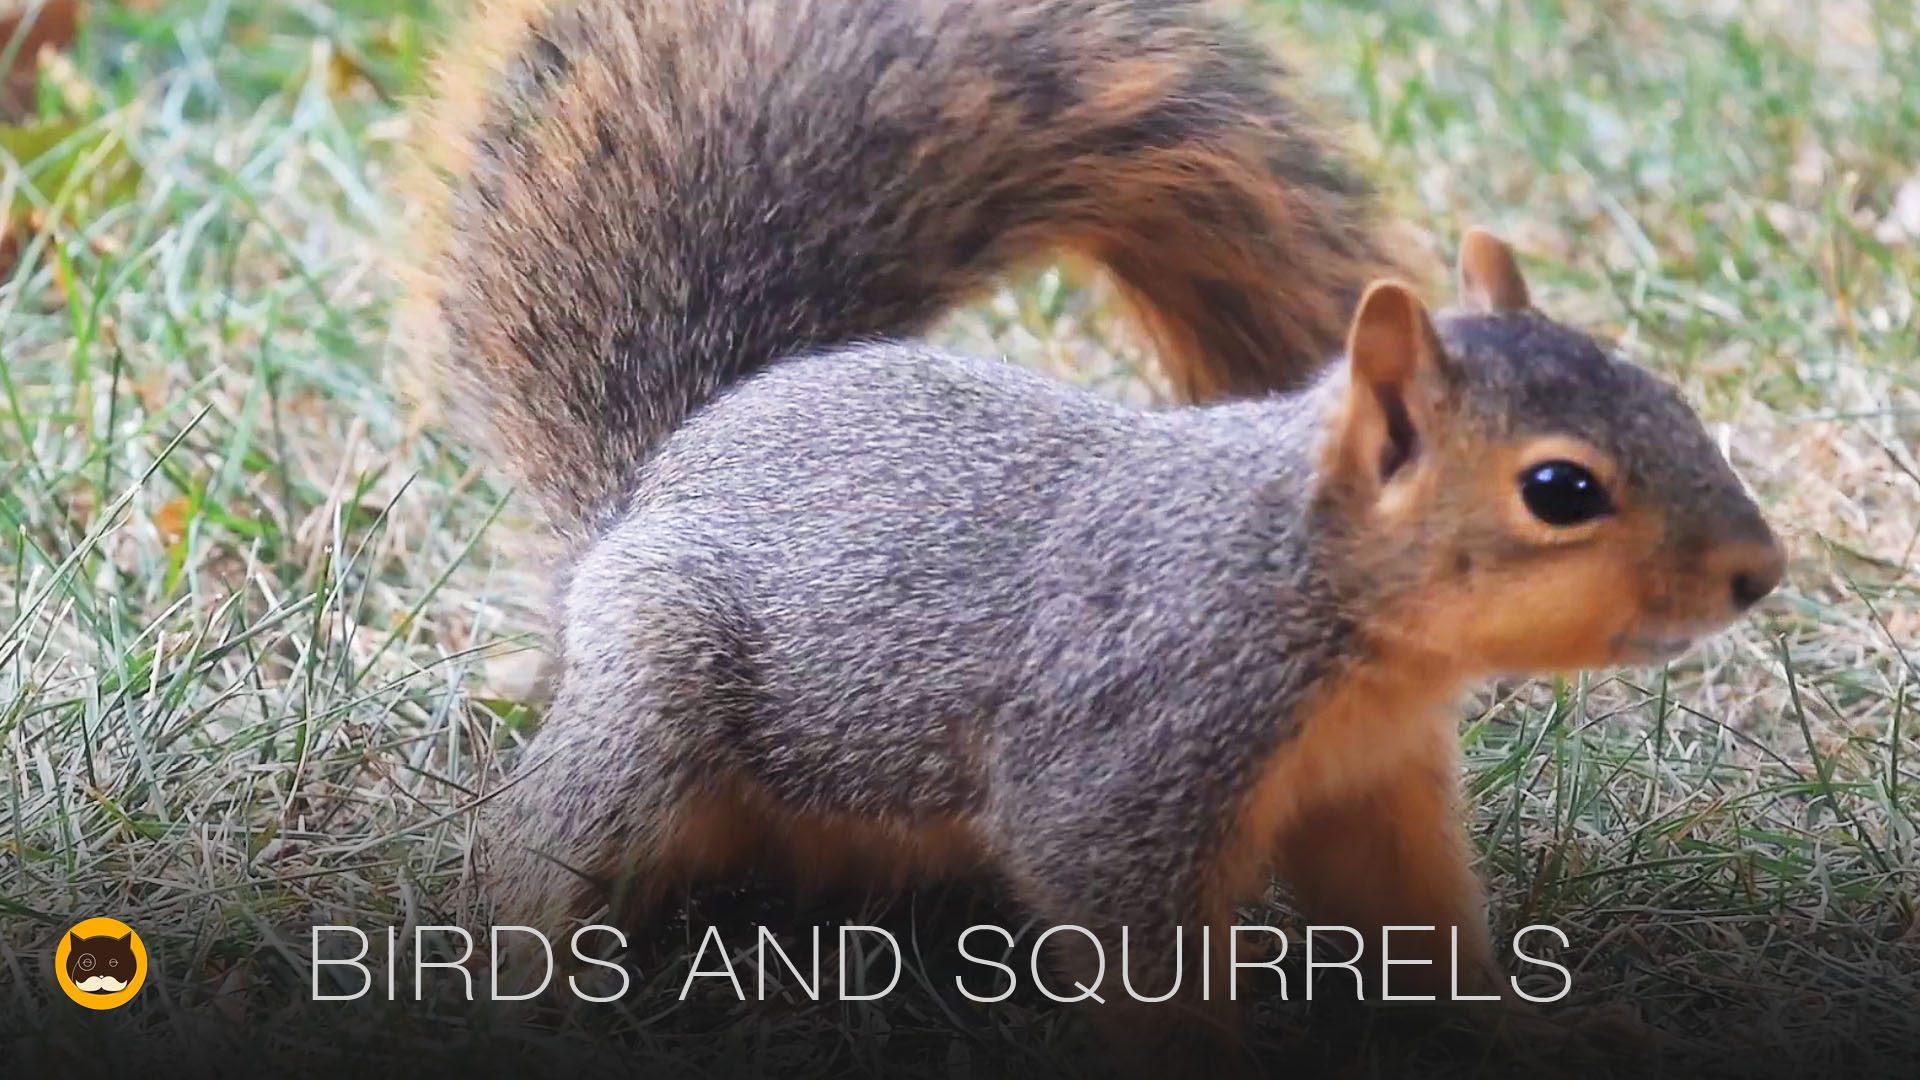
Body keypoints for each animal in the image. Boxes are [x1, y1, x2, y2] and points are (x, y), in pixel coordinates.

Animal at [402, 0, 1787, 1072]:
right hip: (657, 695)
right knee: (546, 842)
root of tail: (658, 477)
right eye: (1559, 488)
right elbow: (1134, 939)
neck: (1308, 588)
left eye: (1666, 393)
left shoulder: (1374, 785)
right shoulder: (1123, 752)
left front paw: (1529, 1032)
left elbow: (1420, 933)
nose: (1758, 573)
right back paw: (524, 986)